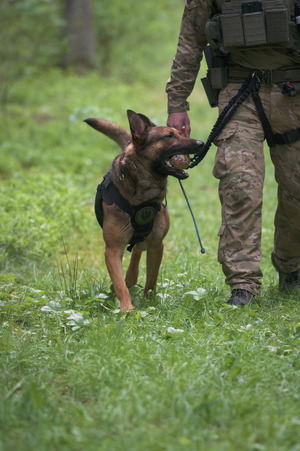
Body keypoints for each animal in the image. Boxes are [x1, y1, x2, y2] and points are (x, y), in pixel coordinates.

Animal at [84, 111, 203, 312]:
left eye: (181, 133)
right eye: (169, 136)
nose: (201, 143)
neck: (144, 191)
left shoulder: (157, 245)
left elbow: (151, 280)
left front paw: (149, 303)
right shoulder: (113, 250)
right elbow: (119, 284)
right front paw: (127, 309)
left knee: (138, 250)